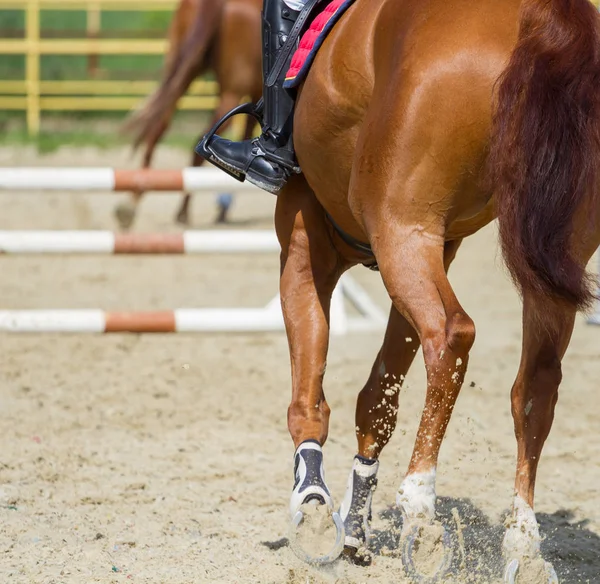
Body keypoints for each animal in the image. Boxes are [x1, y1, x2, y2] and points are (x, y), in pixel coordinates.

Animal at [117, 0, 262, 230]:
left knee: (157, 129)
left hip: (181, 70)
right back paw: (184, 212)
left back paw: (132, 203)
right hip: (230, 93)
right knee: (201, 143)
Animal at [276, 0, 600, 580]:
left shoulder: (305, 244)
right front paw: (354, 526)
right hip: (549, 259)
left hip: (400, 230)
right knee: (536, 385)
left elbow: (309, 394)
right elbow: (377, 398)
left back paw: (420, 509)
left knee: (450, 336)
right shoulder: (436, 248)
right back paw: (523, 546)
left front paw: (313, 508)